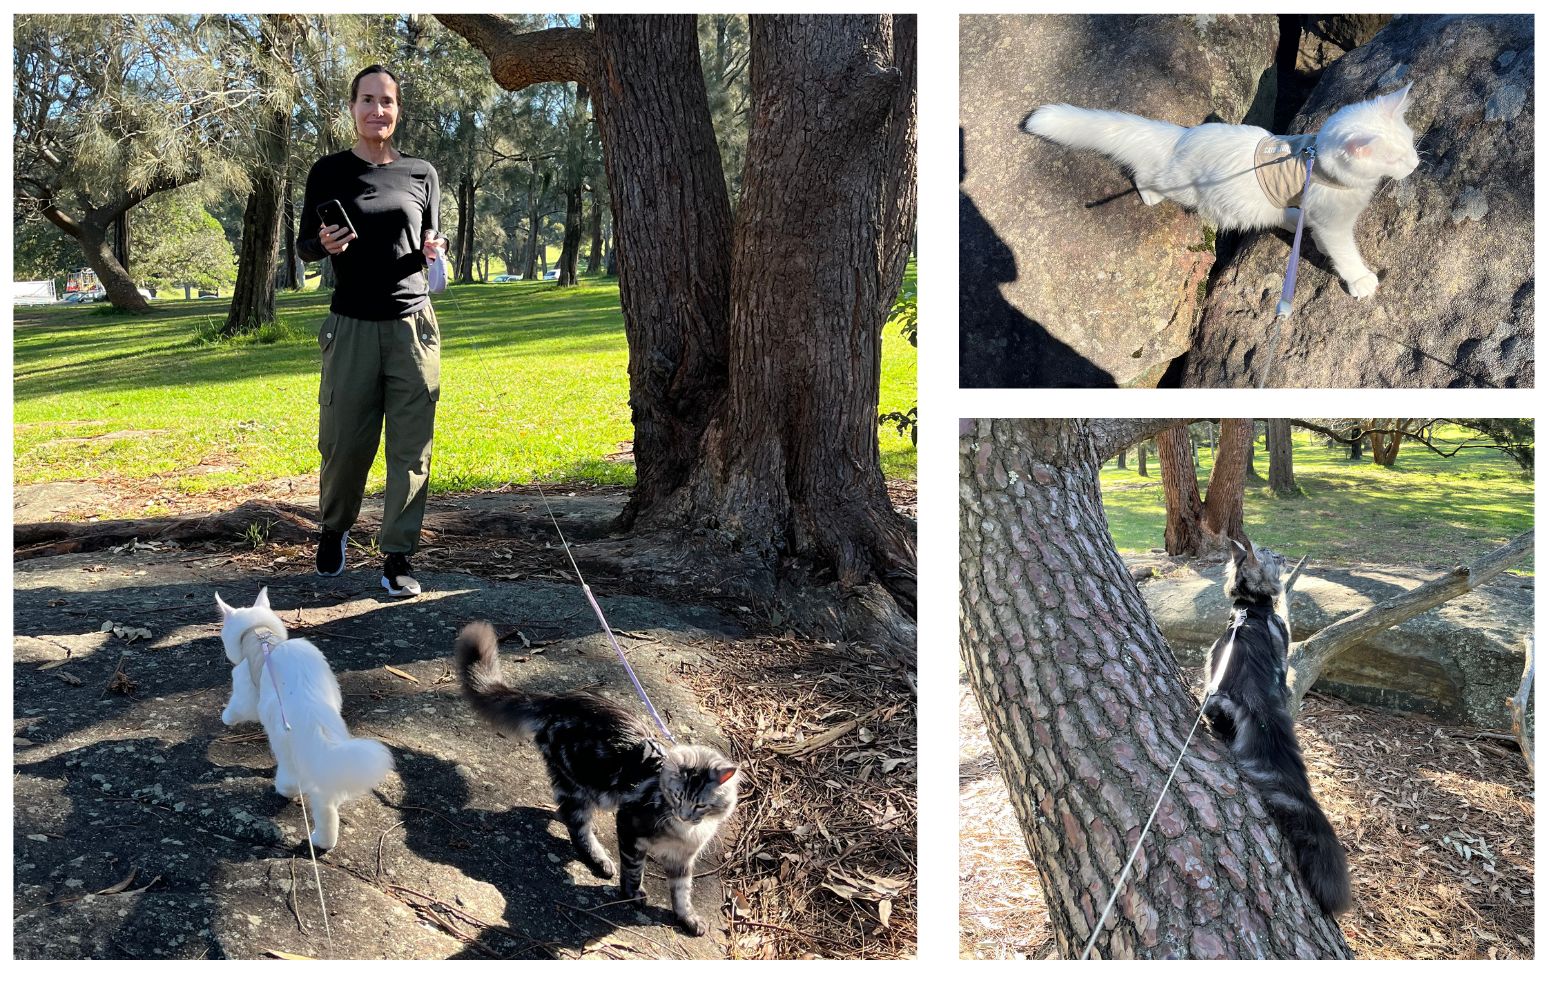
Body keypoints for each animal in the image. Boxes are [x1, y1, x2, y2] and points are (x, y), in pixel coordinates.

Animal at [217, 586, 392, 845]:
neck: (261, 635)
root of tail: (312, 715)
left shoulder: (245, 687)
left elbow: (235, 707)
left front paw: (226, 718)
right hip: (327, 761)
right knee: (326, 805)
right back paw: (322, 842)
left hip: (282, 741)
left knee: (292, 781)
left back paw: (283, 791)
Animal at [1031, 83, 1414, 299]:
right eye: (1395, 158)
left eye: (1410, 143)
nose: (1415, 163)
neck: (1316, 161)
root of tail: (1183, 136)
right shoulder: (1334, 224)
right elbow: (1345, 254)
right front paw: (1361, 281)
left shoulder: (1321, 216)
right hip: (1181, 185)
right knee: (1146, 174)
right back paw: (1150, 193)